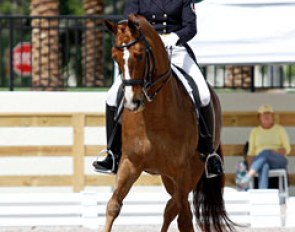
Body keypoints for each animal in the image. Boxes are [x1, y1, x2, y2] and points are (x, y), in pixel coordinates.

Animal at [104, 14, 234, 232]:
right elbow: (113, 205)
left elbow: (183, 218)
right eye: (115, 57)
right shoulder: (130, 163)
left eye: (139, 55)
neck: (154, 117)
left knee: (175, 208)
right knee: (172, 207)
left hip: (192, 170)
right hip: (167, 176)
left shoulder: (182, 170)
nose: (132, 102)